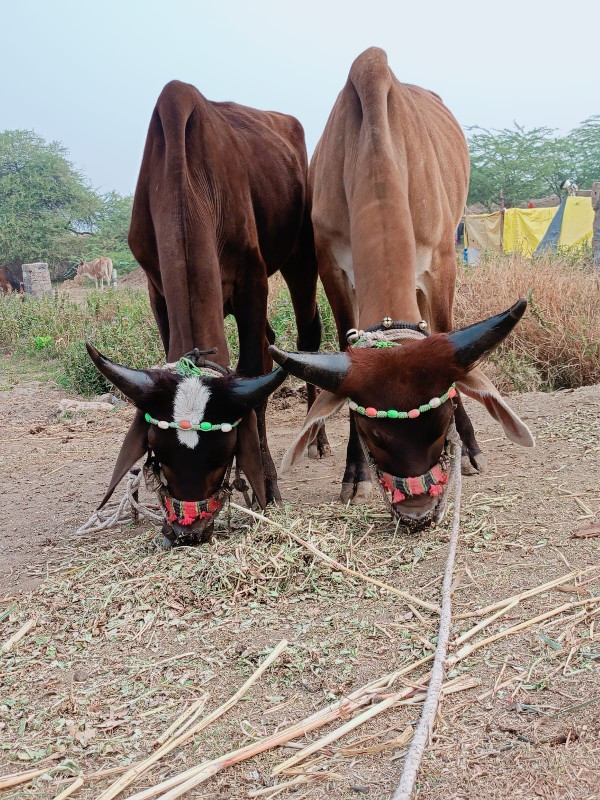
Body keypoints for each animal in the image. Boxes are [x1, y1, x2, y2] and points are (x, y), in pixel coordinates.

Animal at [86, 79, 322, 544]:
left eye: (222, 456)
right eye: (158, 455)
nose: (187, 532)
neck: (186, 181)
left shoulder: (253, 281)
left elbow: (252, 375)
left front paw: (266, 483)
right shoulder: (156, 288)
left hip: (301, 257)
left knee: (308, 334)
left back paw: (315, 437)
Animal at [270, 48, 532, 524]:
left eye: (442, 424)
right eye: (372, 433)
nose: (419, 509)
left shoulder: (442, 265)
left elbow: (447, 341)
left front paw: (469, 445)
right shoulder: (333, 270)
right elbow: (346, 344)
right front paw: (354, 472)